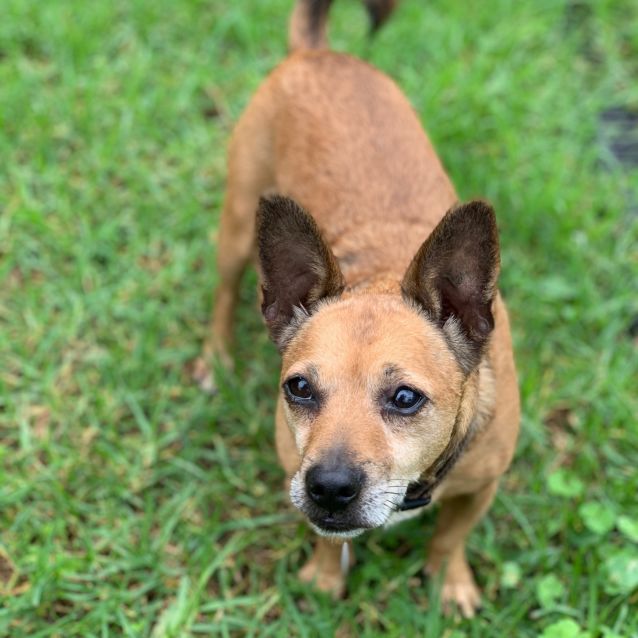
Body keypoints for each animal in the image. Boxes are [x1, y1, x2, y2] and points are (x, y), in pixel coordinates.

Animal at [198, 0, 524, 620]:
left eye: (405, 399)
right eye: (298, 389)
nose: (328, 486)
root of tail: (319, 54)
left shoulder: (482, 487)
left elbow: (451, 535)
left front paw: (449, 584)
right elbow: (328, 540)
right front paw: (326, 580)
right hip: (236, 228)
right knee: (224, 293)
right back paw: (215, 359)